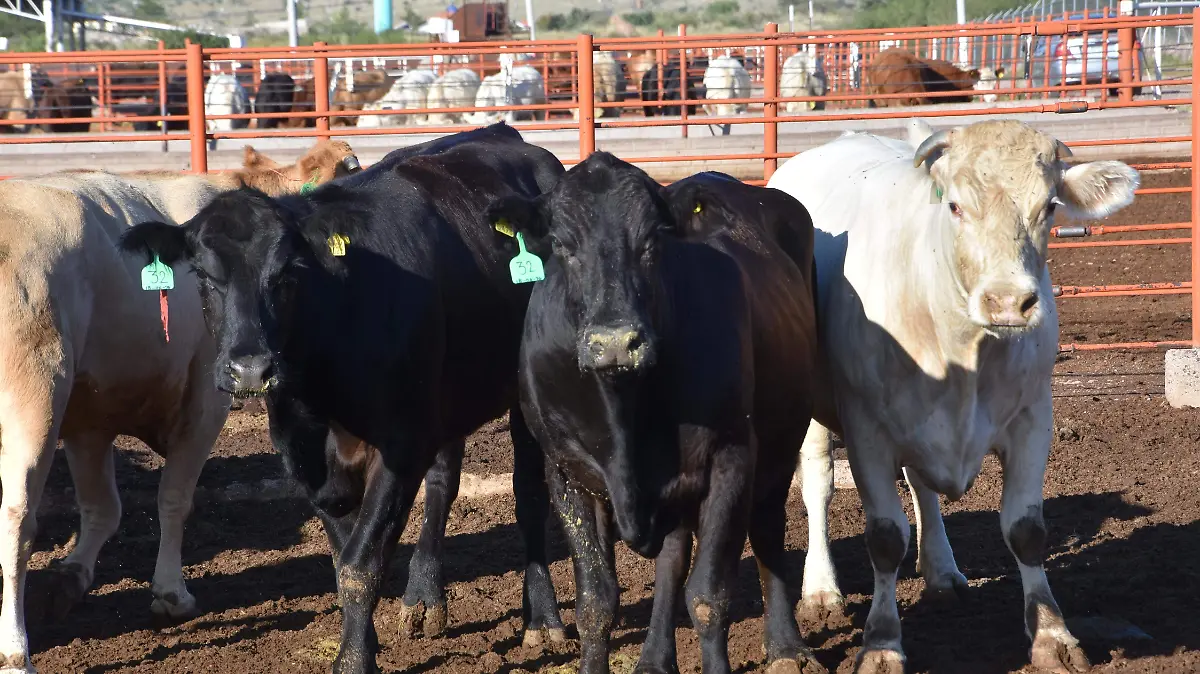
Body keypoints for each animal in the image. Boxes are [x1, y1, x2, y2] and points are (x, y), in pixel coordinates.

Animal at [0, 139, 359, 674]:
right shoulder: (206, 399)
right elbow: (173, 498)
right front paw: (171, 593)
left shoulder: (90, 415)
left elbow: (102, 507)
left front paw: (70, 577)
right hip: (33, 402)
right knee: (18, 517)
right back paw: (15, 647)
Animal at [118, 123, 567, 674]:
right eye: (203, 276)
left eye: (287, 274)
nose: (250, 369)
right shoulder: (305, 455)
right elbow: (343, 557)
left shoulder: (401, 444)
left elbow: (361, 562)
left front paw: (354, 660)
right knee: (444, 483)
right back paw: (425, 599)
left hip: (522, 391)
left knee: (529, 494)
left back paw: (542, 619)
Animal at [485, 155, 825, 674]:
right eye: (561, 245)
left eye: (651, 242)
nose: (614, 342)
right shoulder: (566, 470)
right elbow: (596, 601)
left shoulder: (731, 457)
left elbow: (708, 597)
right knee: (671, 561)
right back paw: (654, 659)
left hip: (783, 439)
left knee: (766, 529)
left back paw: (786, 648)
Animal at [766, 118, 1140, 674]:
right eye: (956, 206)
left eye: (1049, 206)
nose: (1007, 300)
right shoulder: (867, 430)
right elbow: (884, 537)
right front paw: (881, 643)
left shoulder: (1033, 418)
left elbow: (1026, 530)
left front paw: (1052, 635)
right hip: (811, 412)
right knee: (818, 485)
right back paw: (821, 589)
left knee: (920, 485)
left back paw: (941, 571)